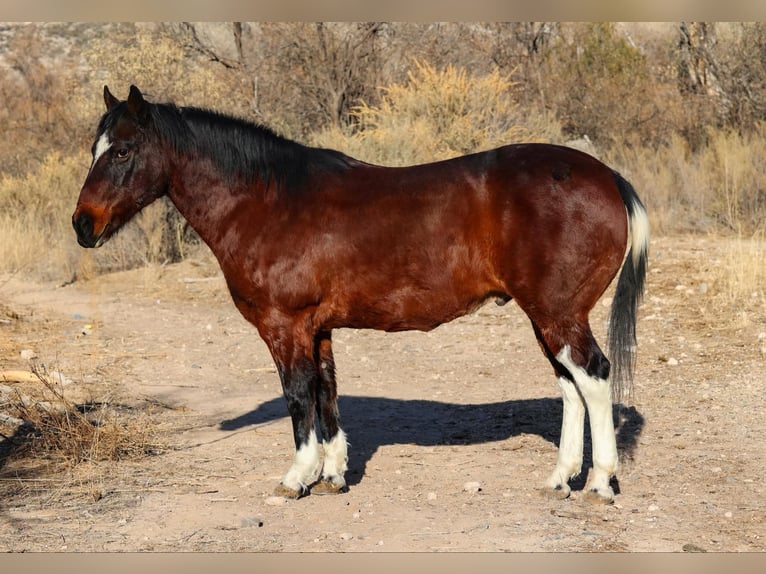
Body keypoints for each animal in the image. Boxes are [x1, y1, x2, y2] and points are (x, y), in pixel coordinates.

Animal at [72, 85, 652, 504]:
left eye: (122, 150)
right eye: (95, 149)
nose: (82, 225)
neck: (269, 200)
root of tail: (607, 175)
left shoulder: (285, 326)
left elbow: (297, 395)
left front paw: (297, 477)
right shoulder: (319, 328)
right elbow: (327, 393)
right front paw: (332, 475)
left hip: (557, 314)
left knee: (593, 377)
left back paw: (599, 485)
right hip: (547, 317)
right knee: (571, 387)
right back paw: (560, 480)